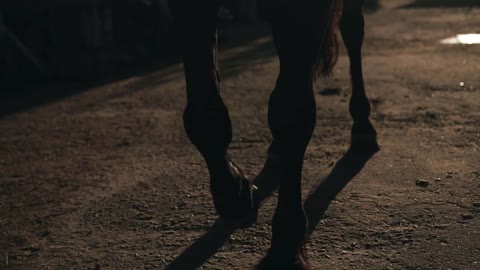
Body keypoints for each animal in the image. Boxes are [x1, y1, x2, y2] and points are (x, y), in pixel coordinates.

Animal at [169, 0, 378, 268]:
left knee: (352, 30)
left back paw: (362, 124)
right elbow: (204, 113)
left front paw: (286, 243)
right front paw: (234, 193)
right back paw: (277, 150)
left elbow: (291, 113)